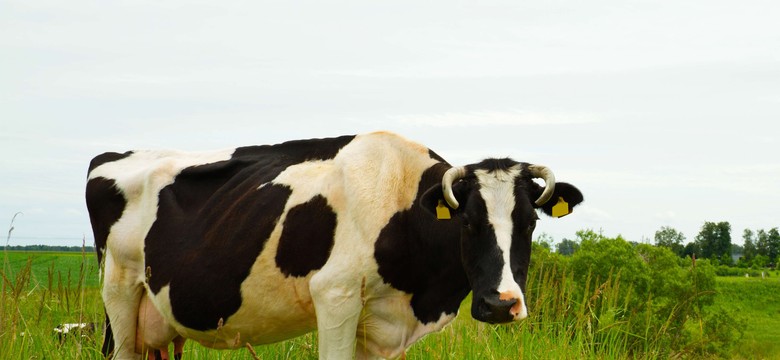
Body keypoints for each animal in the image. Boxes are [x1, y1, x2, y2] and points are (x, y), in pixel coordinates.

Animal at [87, 132, 584, 360]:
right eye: (466, 221)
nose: (502, 305)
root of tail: (112, 155)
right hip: (119, 292)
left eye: (530, 223)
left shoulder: (382, 329)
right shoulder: (336, 297)